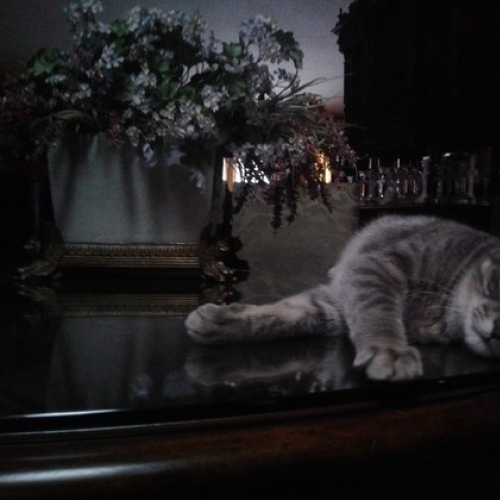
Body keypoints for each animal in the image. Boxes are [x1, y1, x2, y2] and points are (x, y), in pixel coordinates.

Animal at [185, 215, 500, 382]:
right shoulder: (376, 266)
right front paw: (390, 349)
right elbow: (378, 312)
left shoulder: (335, 304)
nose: (498, 330)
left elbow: (288, 314)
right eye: (497, 284)